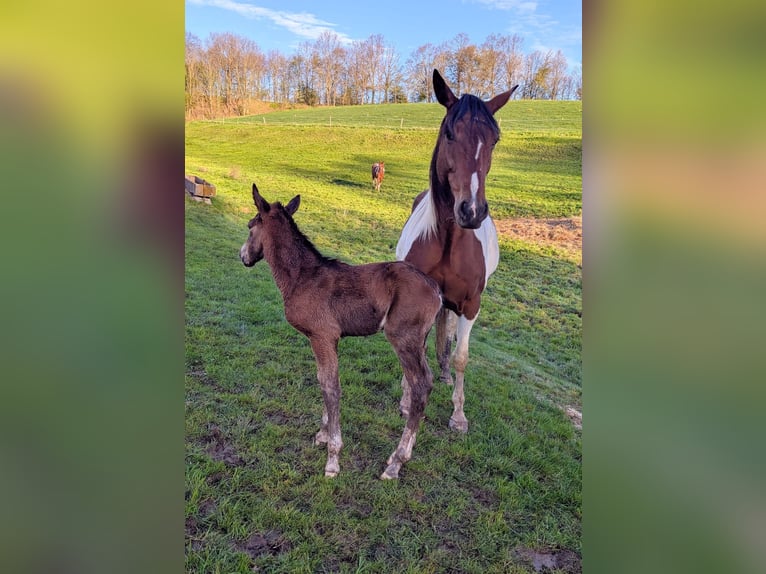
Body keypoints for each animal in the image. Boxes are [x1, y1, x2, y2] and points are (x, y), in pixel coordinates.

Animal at [240, 183, 442, 479]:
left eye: (250, 226)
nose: (242, 256)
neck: (302, 277)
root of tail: (436, 290)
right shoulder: (327, 340)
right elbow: (323, 381)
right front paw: (323, 434)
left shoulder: (322, 336)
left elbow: (330, 387)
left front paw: (333, 458)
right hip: (421, 341)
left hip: (405, 339)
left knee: (420, 385)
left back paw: (395, 463)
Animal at [395, 69, 518, 433]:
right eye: (450, 132)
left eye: (495, 139)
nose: (472, 211)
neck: (448, 241)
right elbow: (416, 349)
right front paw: (406, 401)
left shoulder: (470, 304)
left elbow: (462, 356)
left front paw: (459, 415)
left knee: (447, 338)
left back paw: (446, 373)